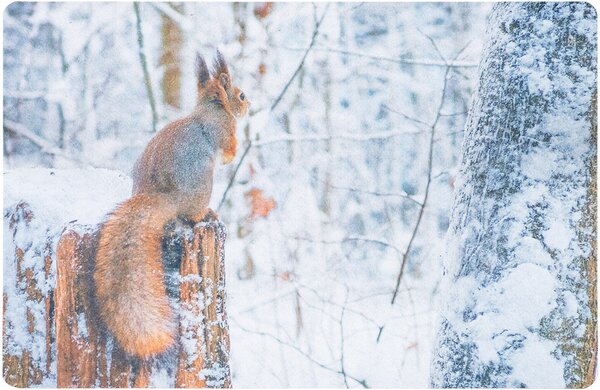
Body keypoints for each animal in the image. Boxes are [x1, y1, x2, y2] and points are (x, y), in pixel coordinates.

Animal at [94, 51, 248, 356]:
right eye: (241, 95)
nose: (249, 106)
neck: (211, 108)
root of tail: (163, 197)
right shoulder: (223, 132)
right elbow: (228, 149)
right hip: (202, 185)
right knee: (192, 215)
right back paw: (207, 214)